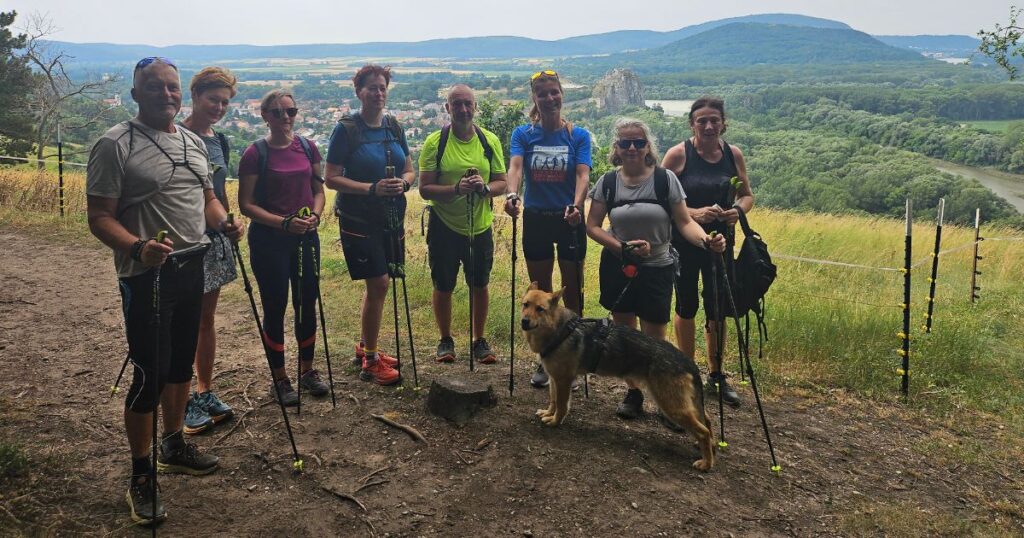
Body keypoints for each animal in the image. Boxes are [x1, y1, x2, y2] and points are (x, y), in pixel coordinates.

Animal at [520, 282, 712, 467]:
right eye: (525, 304)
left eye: (540, 309)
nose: (524, 321)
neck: (560, 329)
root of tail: (687, 361)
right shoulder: (554, 379)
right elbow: (553, 401)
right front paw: (548, 413)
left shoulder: (563, 381)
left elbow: (561, 406)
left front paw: (555, 421)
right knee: (708, 423)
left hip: (672, 405)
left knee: (704, 431)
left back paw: (706, 463)